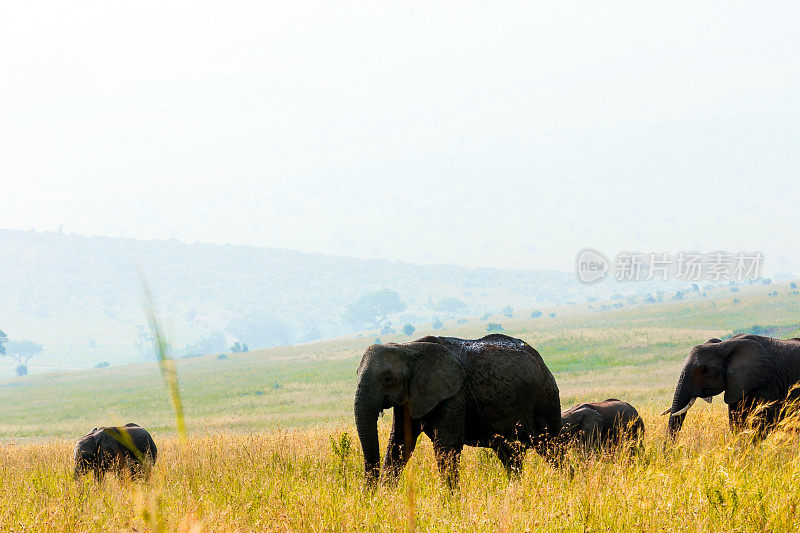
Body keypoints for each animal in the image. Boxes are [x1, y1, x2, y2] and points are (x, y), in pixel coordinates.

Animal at [354, 334, 560, 484]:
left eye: (388, 379)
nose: (368, 496)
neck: (407, 347)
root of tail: (541, 361)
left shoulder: (454, 394)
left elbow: (446, 447)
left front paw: (450, 504)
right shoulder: (408, 398)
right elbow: (400, 443)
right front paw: (384, 500)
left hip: (545, 397)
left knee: (552, 447)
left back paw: (565, 485)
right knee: (510, 455)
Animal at [664, 334, 800, 438]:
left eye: (704, 370)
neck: (724, 346)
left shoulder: (768, 382)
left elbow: (763, 420)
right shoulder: (737, 383)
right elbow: (736, 420)